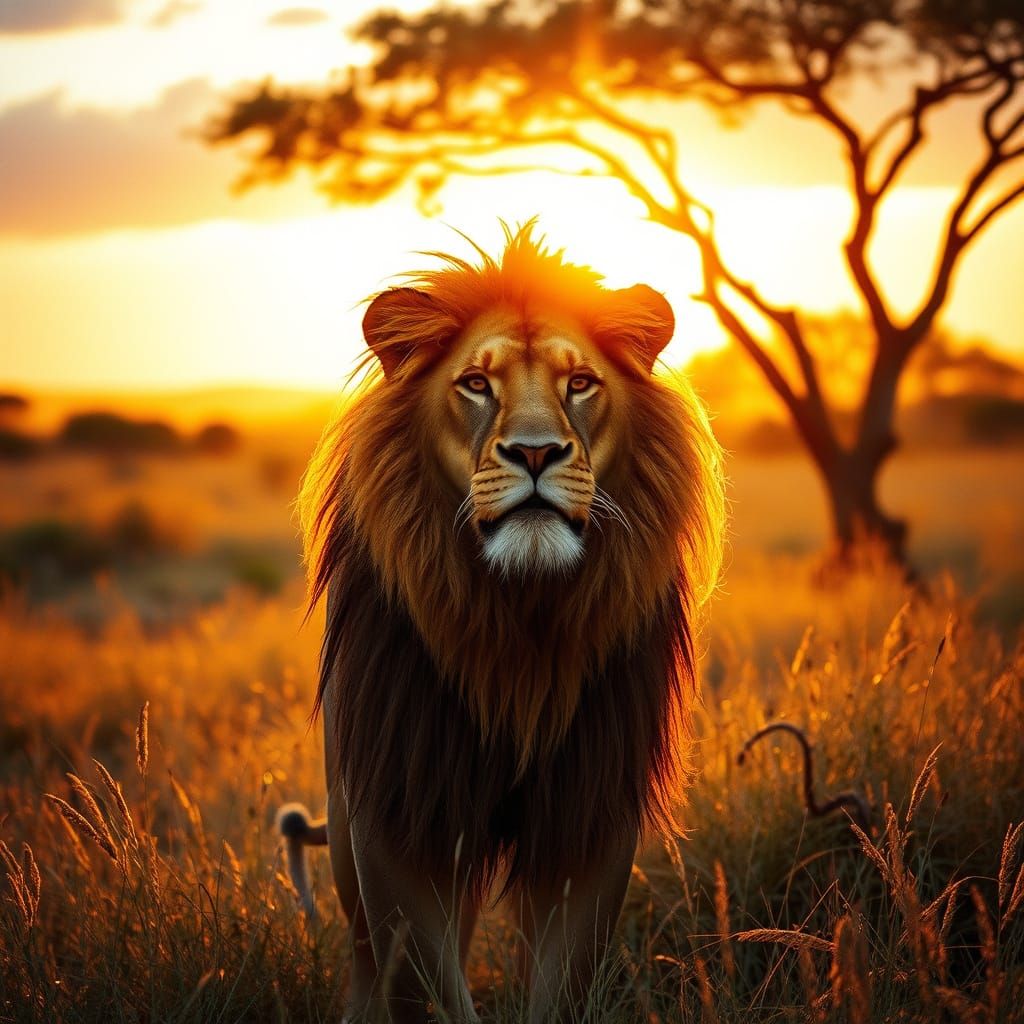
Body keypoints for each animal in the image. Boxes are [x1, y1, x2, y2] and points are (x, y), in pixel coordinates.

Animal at [281, 224, 724, 1023]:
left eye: (579, 383)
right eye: (476, 384)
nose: (536, 451)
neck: (520, 616)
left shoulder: (591, 809)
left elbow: (564, 984)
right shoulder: (399, 803)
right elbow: (423, 982)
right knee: (367, 950)